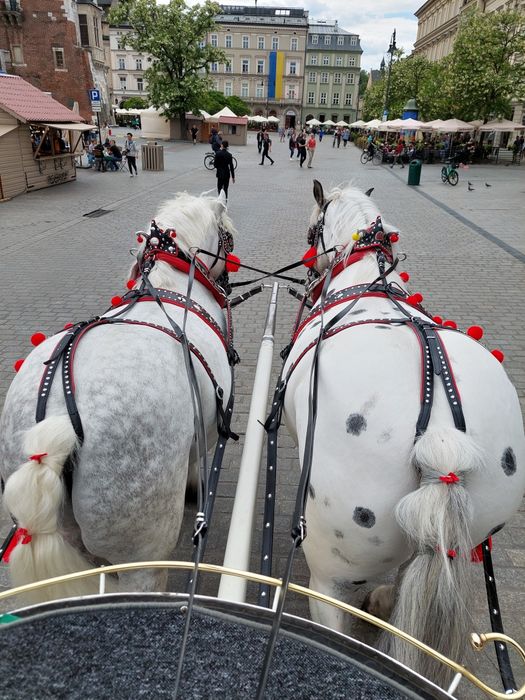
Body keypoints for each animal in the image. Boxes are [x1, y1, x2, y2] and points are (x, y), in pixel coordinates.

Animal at [0, 191, 235, 600]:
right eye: (228, 237)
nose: (227, 284)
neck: (174, 287)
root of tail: (59, 420)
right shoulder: (204, 431)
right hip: (140, 550)